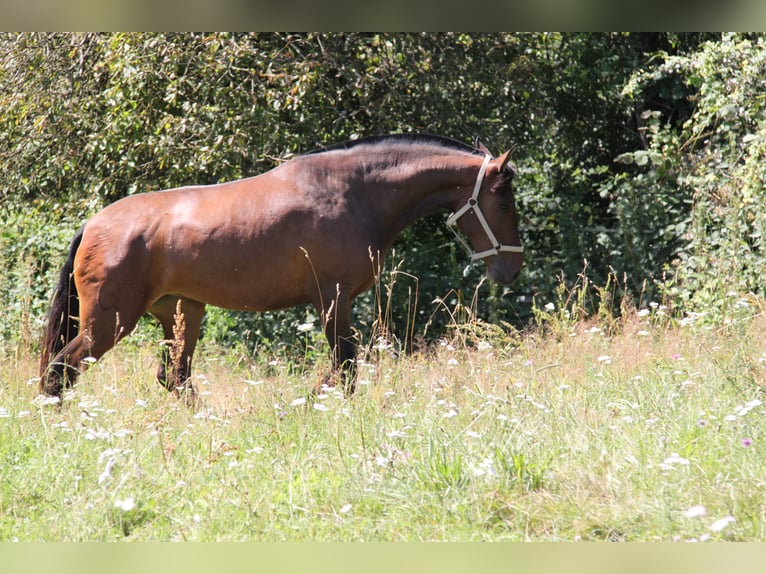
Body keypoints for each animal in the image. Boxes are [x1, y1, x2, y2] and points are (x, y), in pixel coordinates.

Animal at [39, 137, 524, 402]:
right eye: (503, 202)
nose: (512, 269)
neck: (355, 194)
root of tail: (92, 224)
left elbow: (342, 369)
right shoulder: (332, 299)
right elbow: (345, 368)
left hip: (180, 312)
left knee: (174, 378)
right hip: (110, 322)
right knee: (60, 371)